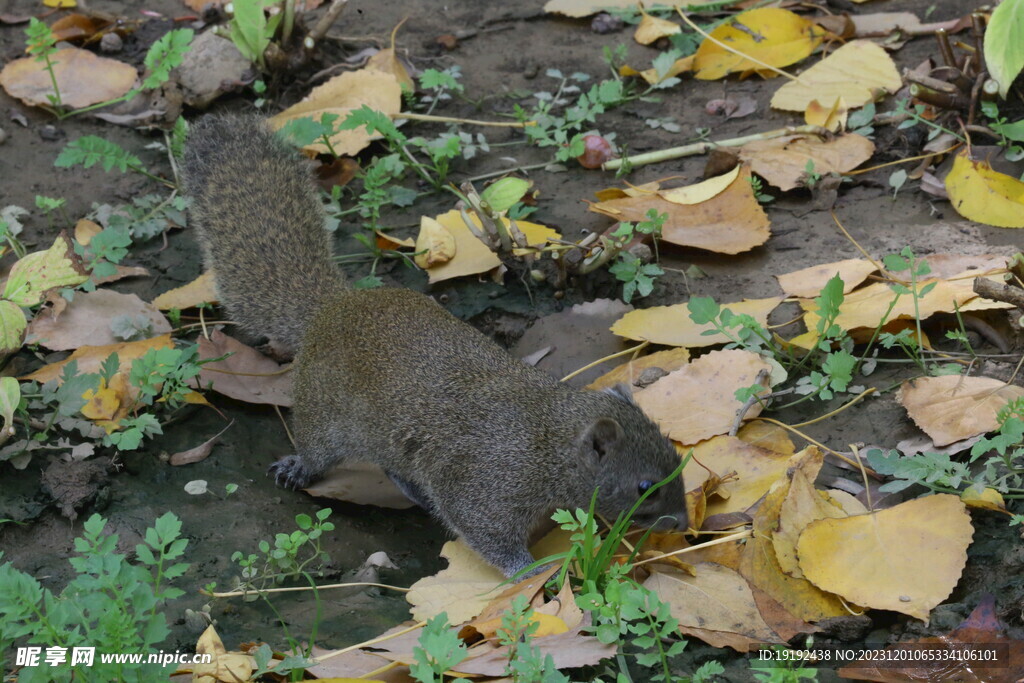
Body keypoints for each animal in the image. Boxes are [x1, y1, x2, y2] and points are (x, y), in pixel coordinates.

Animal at [183, 113, 688, 577]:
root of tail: (333, 308)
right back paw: (302, 468)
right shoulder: (486, 486)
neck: (549, 442)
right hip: (325, 415)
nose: (683, 524)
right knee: (318, 449)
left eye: (676, 457)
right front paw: (530, 572)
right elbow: (486, 532)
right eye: (644, 484)